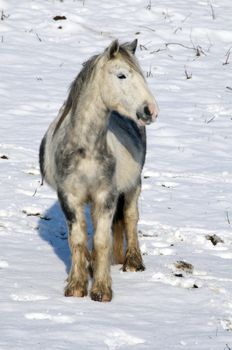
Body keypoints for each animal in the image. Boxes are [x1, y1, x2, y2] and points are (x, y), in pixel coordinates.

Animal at [40, 37, 159, 300]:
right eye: (121, 75)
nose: (151, 111)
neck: (86, 148)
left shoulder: (106, 196)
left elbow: (102, 240)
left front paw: (102, 290)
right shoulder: (69, 198)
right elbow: (78, 240)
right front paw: (76, 286)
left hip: (133, 185)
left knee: (130, 217)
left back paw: (132, 262)